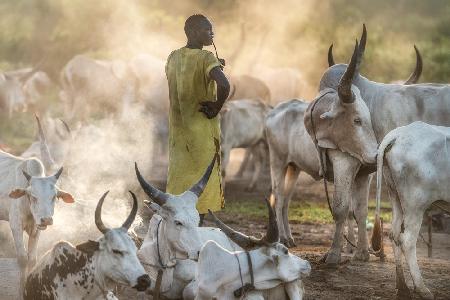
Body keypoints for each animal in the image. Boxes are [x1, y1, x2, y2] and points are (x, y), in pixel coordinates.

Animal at [372, 120, 450, 298]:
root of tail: (398, 134)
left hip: (395, 196)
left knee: (394, 234)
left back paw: (402, 287)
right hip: (416, 205)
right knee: (407, 240)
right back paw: (422, 289)